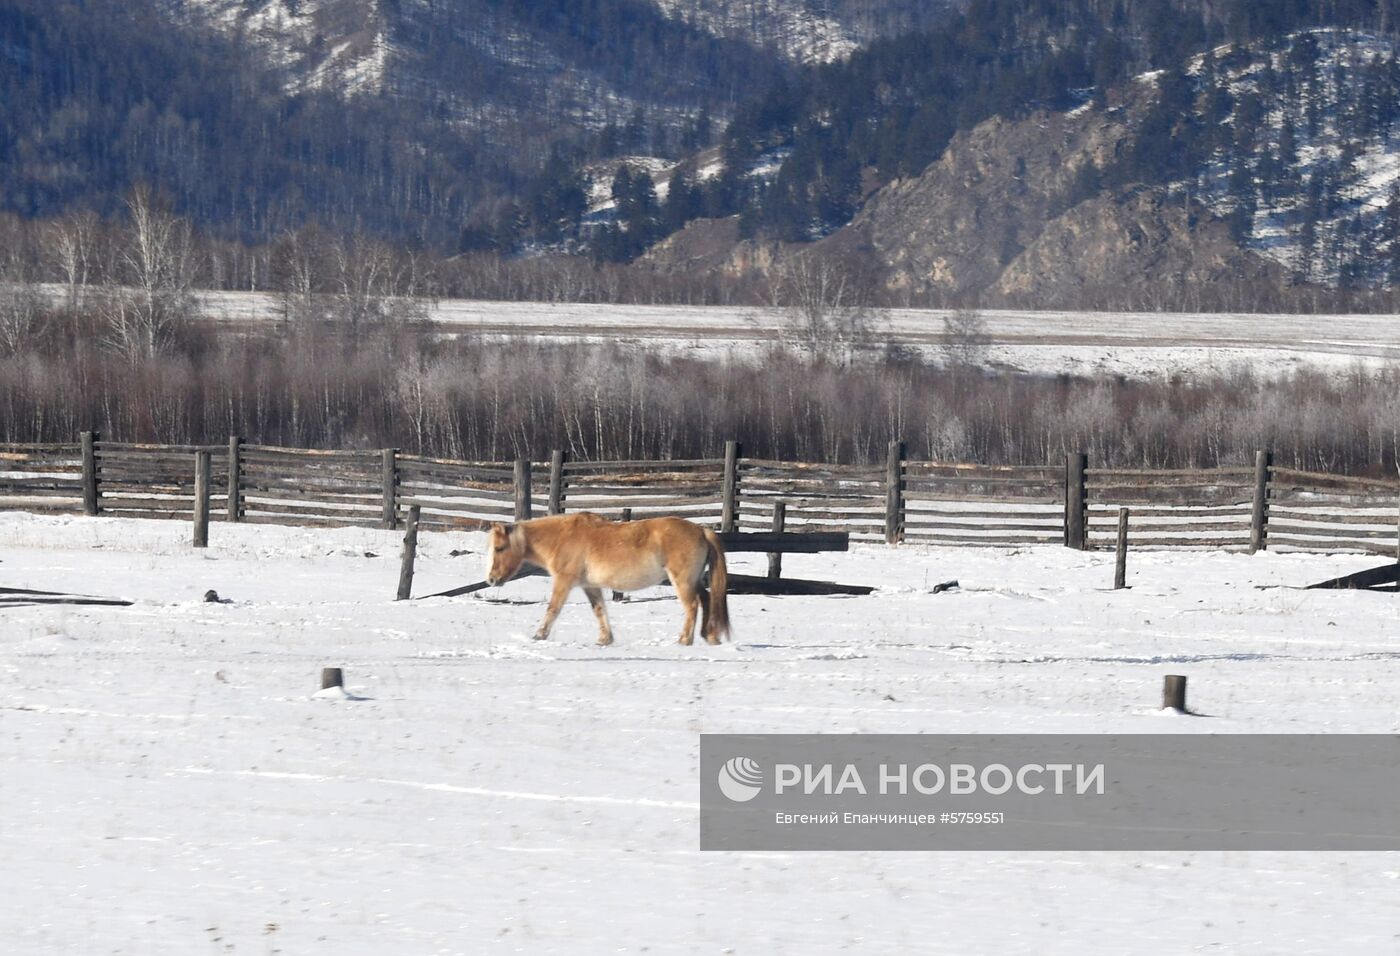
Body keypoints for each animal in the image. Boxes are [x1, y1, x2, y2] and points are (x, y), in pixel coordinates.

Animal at [484, 512, 733, 646]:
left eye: (499, 548)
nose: (491, 580)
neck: (562, 538)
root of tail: (701, 530)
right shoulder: (590, 586)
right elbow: (599, 610)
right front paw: (605, 639)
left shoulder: (564, 582)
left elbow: (553, 609)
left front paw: (539, 635)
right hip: (694, 580)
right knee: (707, 600)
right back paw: (709, 636)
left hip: (682, 581)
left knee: (692, 605)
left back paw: (684, 640)